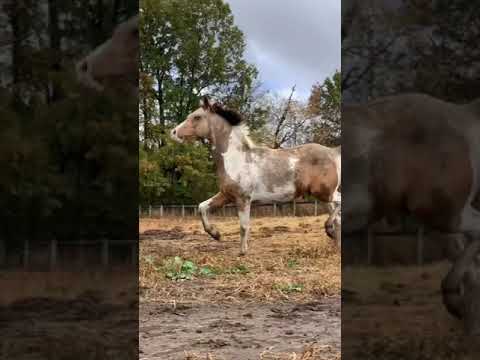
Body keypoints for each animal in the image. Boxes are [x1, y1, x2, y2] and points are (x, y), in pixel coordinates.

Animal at [171, 97, 340, 256]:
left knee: (338, 207)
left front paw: (242, 251)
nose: (173, 132)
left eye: (197, 117)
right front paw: (216, 234)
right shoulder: (226, 195)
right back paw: (335, 243)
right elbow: (202, 207)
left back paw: (329, 230)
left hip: (324, 193)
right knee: (337, 216)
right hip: (324, 196)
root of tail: (332, 152)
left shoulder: (243, 198)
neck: (236, 159)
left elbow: (244, 225)